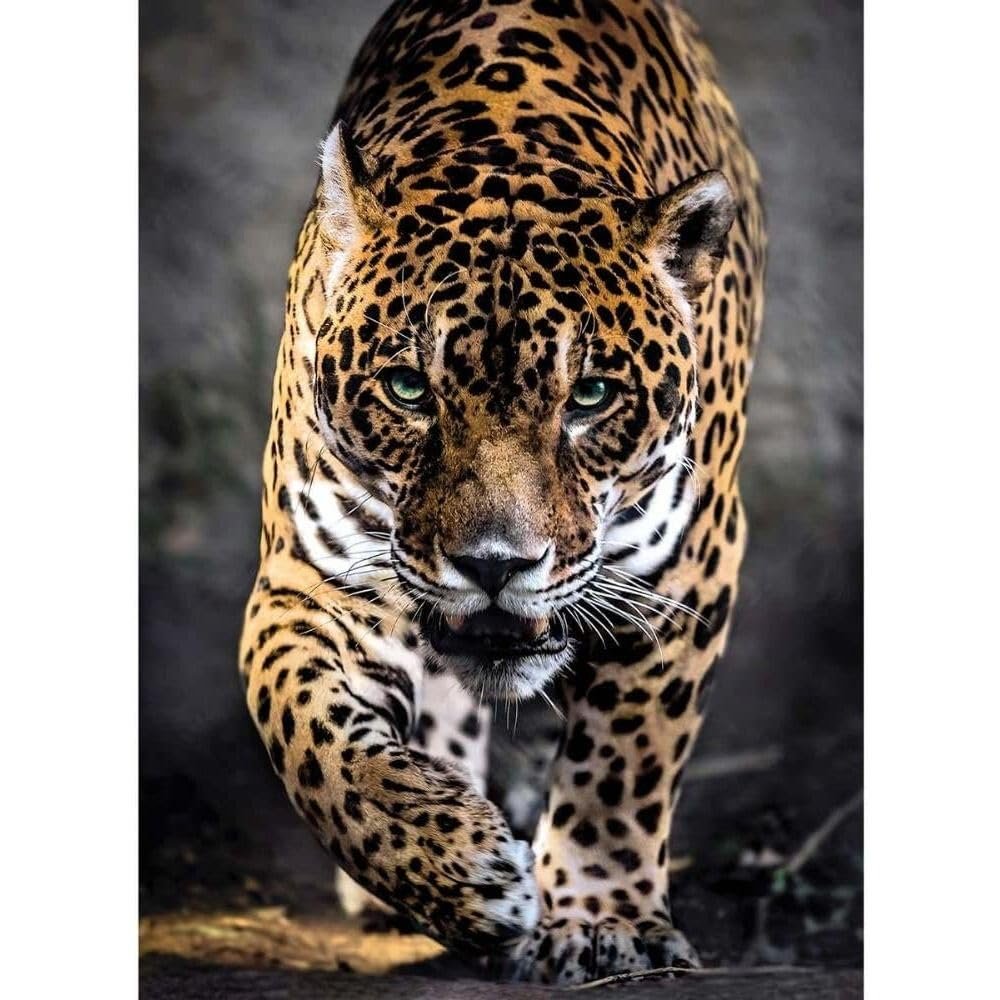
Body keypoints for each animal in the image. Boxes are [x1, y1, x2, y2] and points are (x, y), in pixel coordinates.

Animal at [239, 0, 765, 985]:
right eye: (409, 389)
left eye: (590, 396)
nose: (494, 565)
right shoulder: (310, 579)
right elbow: (308, 735)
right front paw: (456, 870)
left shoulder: (684, 573)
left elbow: (623, 764)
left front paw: (602, 922)